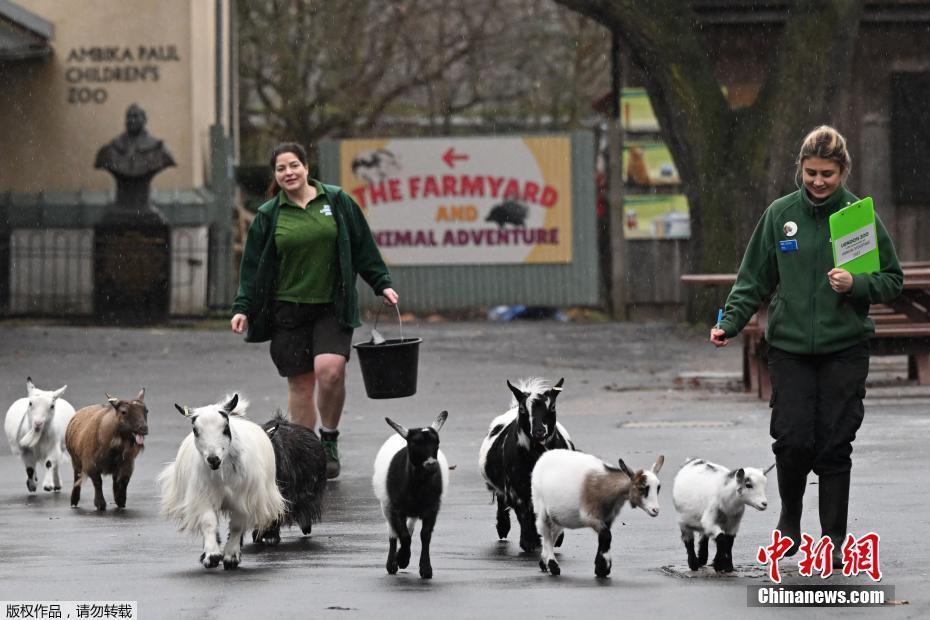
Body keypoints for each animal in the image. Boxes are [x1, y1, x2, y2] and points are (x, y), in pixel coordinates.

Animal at [158, 394, 284, 568]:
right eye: (195, 430)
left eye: (225, 428)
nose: (213, 459)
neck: (222, 472)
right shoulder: (202, 497)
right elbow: (208, 522)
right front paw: (212, 555)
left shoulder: (244, 499)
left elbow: (237, 526)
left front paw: (231, 557)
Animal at [376, 410, 452, 580]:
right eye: (415, 444)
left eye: (437, 443)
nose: (431, 464)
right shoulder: (395, 508)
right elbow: (403, 535)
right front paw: (402, 559)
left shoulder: (432, 508)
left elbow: (425, 535)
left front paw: (426, 569)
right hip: (386, 505)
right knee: (393, 532)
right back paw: (392, 564)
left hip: (413, 511)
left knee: (410, 527)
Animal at [478, 378, 572, 552]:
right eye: (523, 409)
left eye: (553, 406)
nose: (539, 431)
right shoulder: (516, 488)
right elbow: (523, 512)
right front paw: (529, 542)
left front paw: (555, 538)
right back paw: (504, 529)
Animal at [528, 448, 660, 580]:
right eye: (642, 488)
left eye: (658, 488)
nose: (655, 510)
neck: (606, 486)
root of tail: (545, 455)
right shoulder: (589, 515)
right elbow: (606, 535)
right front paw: (603, 567)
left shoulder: (608, 517)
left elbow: (603, 537)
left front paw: (600, 567)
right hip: (540, 505)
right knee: (545, 532)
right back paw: (553, 565)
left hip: (557, 515)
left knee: (554, 532)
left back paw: (544, 562)